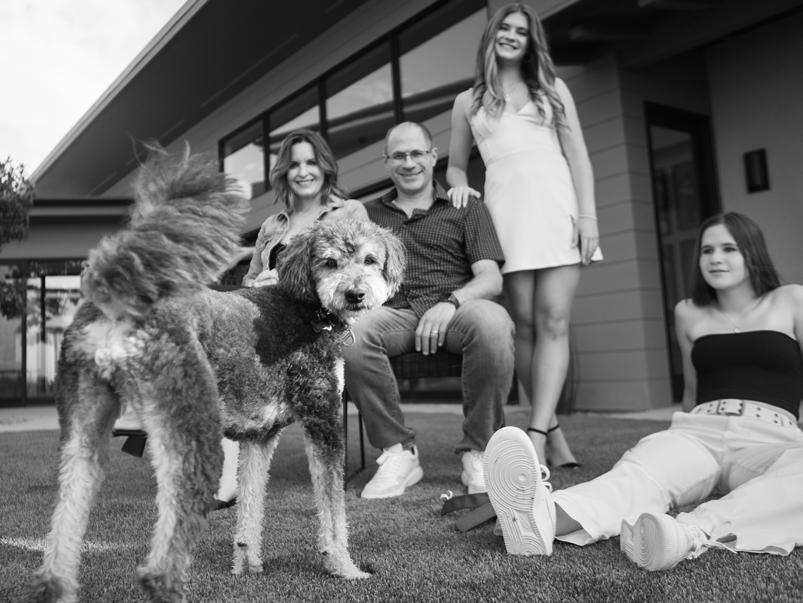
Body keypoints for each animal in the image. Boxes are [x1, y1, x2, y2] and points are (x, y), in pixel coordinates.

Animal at [30, 147, 405, 602]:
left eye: (370, 260)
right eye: (330, 262)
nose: (355, 294)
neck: (307, 306)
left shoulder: (259, 437)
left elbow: (251, 505)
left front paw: (248, 566)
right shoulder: (324, 419)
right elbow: (333, 511)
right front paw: (344, 568)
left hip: (84, 432)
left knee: (62, 537)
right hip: (191, 432)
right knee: (159, 562)